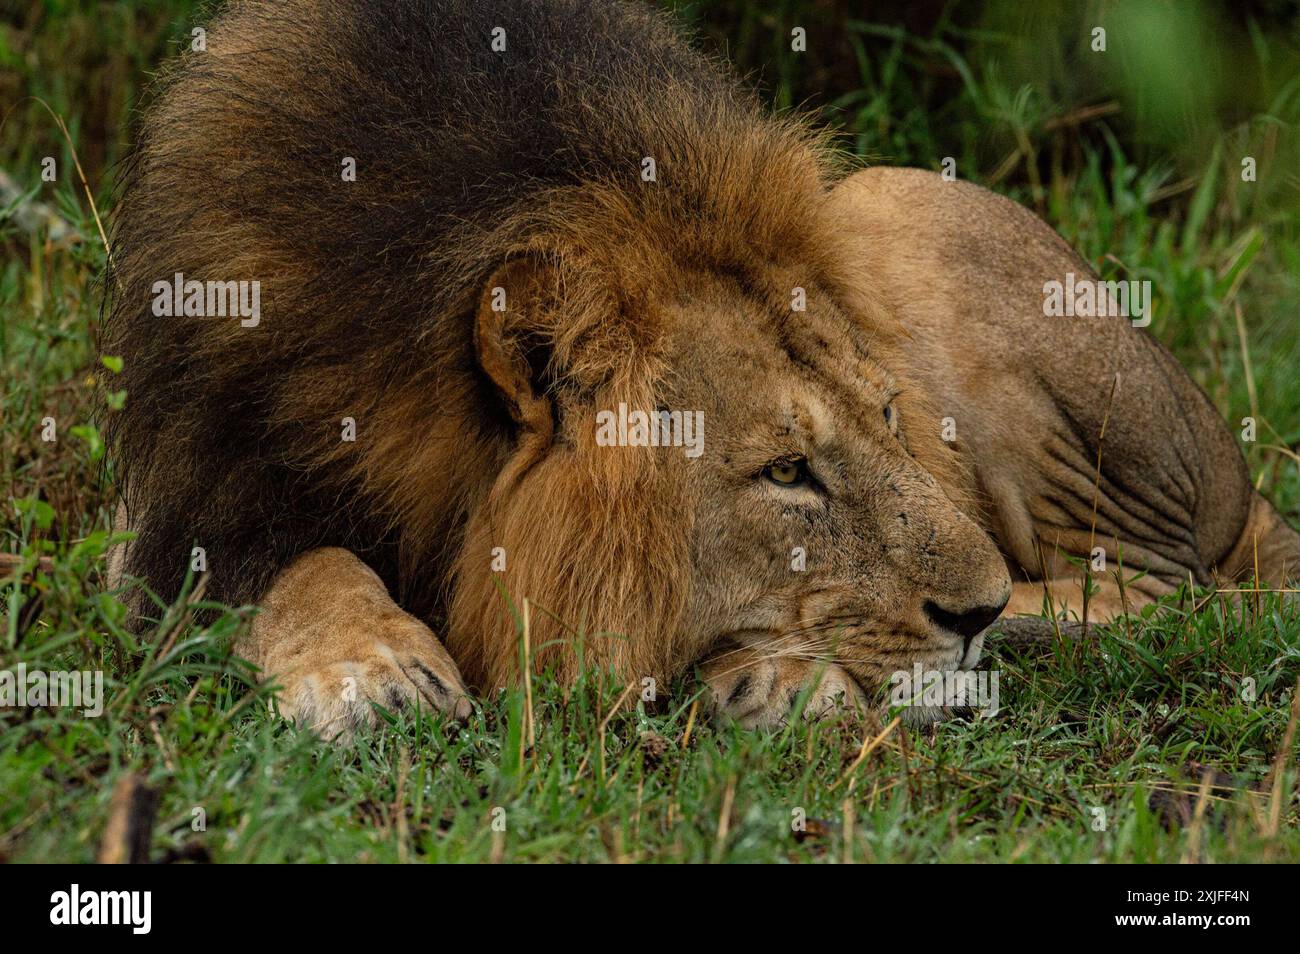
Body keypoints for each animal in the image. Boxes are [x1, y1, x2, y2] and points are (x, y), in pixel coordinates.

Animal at [104, 0, 1300, 738]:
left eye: (891, 418)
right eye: (786, 472)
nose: (978, 612)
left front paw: (774, 667)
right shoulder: (184, 493)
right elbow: (293, 566)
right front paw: (372, 671)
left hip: (892, 198)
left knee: (1157, 592)